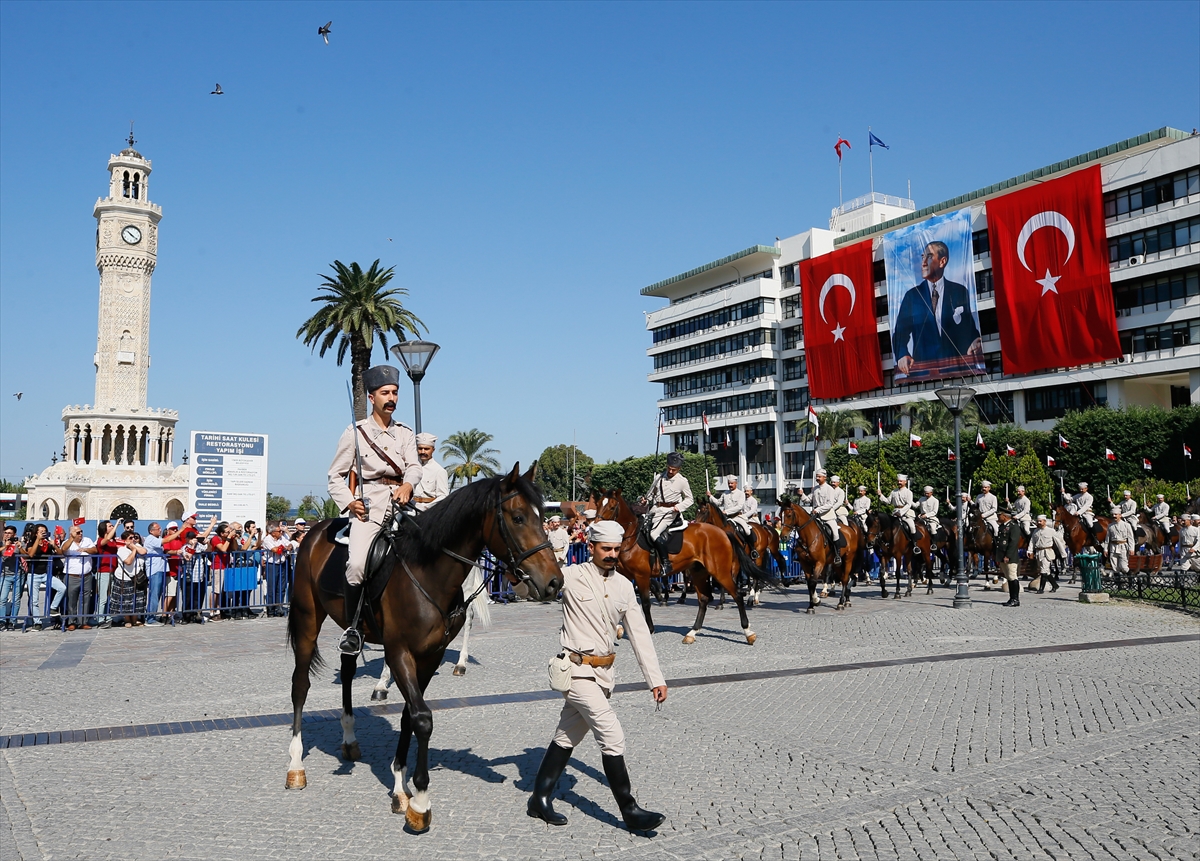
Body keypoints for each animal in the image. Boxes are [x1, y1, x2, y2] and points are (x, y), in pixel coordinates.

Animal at [285, 465, 561, 834]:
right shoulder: (399, 652)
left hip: (351, 628)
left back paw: (349, 739)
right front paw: (420, 801)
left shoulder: (429, 656)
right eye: (518, 518)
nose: (555, 582)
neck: (427, 571)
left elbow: (408, 716)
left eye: (542, 517)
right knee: (300, 685)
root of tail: (315, 532)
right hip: (306, 620)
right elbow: (422, 718)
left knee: (347, 669)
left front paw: (401, 788)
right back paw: (295, 766)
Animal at [590, 489, 768, 642]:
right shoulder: (626, 577)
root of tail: (723, 532)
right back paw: (692, 632)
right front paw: (618, 628)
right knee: (704, 599)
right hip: (699, 572)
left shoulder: (641, 576)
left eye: (612, 506)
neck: (631, 537)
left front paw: (649, 628)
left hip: (721, 571)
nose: (593, 528)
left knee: (736, 594)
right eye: (598, 503)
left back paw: (748, 630)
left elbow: (646, 603)